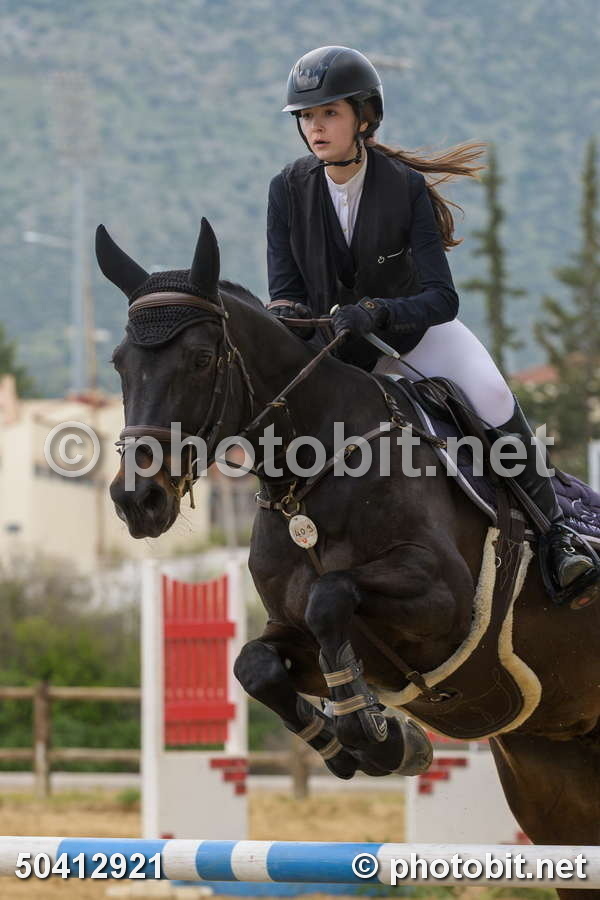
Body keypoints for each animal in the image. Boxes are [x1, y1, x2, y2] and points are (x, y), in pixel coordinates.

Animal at [97, 219, 600, 898]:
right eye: (120, 364)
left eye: (201, 359)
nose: (137, 500)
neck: (311, 475)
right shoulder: (297, 634)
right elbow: (255, 664)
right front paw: (367, 745)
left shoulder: (444, 603)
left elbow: (331, 592)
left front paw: (375, 734)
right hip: (555, 777)